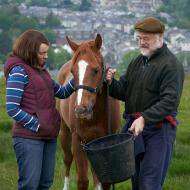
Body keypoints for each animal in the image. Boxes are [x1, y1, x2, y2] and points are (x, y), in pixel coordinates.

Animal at [57, 33, 121, 189]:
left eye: (96, 70)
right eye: (73, 72)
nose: (81, 109)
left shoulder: (106, 142)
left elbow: (105, 180)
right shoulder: (78, 139)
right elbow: (82, 180)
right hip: (64, 132)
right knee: (68, 160)